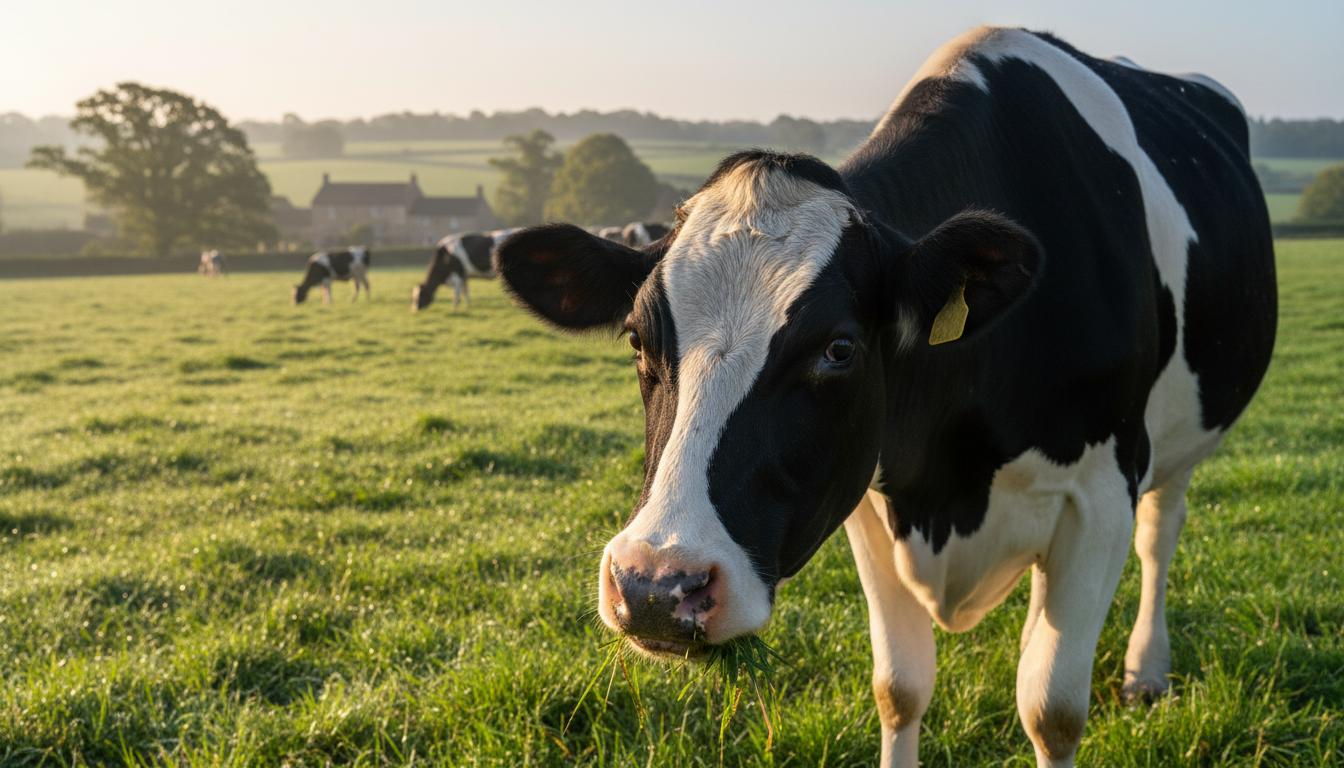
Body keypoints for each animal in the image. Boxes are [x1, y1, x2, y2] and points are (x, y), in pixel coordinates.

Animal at [495, 27, 1276, 767]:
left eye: (839, 349)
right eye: (635, 338)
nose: (655, 588)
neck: (948, 481)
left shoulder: (1101, 492)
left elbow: (1052, 710)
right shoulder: (869, 501)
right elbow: (900, 689)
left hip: (1175, 446)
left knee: (1159, 534)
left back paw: (1147, 669)